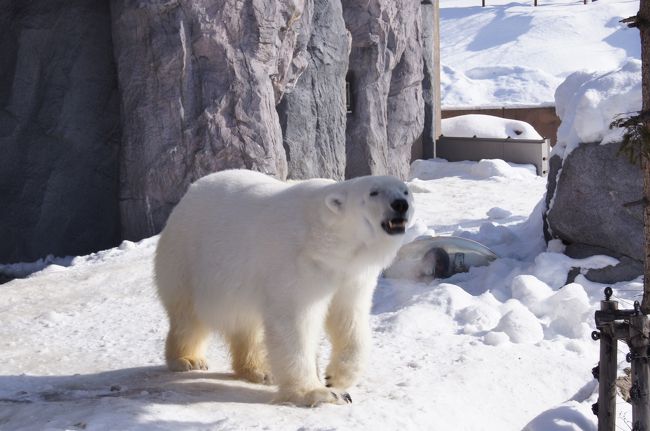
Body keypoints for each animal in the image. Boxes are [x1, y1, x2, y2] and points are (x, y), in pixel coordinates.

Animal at [154, 170, 412, 408]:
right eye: (373, 192)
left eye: (405, 190)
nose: (401, 204)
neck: (328, 240)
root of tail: (190, 192)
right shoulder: (297, 263)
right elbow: (295, 322)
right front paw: (316, 393)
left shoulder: (351, 274)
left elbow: (350, 317)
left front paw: (337, 380)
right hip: (188, 258)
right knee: (188, 316)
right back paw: (188, 360)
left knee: (247, 325)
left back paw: (261, 371)